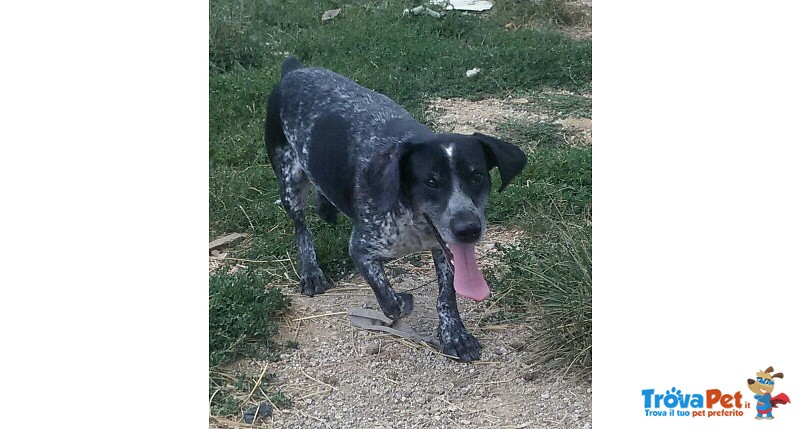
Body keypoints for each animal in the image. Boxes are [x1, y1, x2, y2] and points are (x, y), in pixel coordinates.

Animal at [266, 55, 528, 360]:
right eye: (430, 182)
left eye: (476, 176)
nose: (468, 230)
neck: (413, 221)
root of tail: (294, 69)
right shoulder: (361, 249)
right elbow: (390, 300)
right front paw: (404, 301)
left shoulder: (443, 250)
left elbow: (446, 296)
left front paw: (455, 334)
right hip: (289, 182)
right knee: (301, 229)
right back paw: (311, 272)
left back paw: (325, 208)